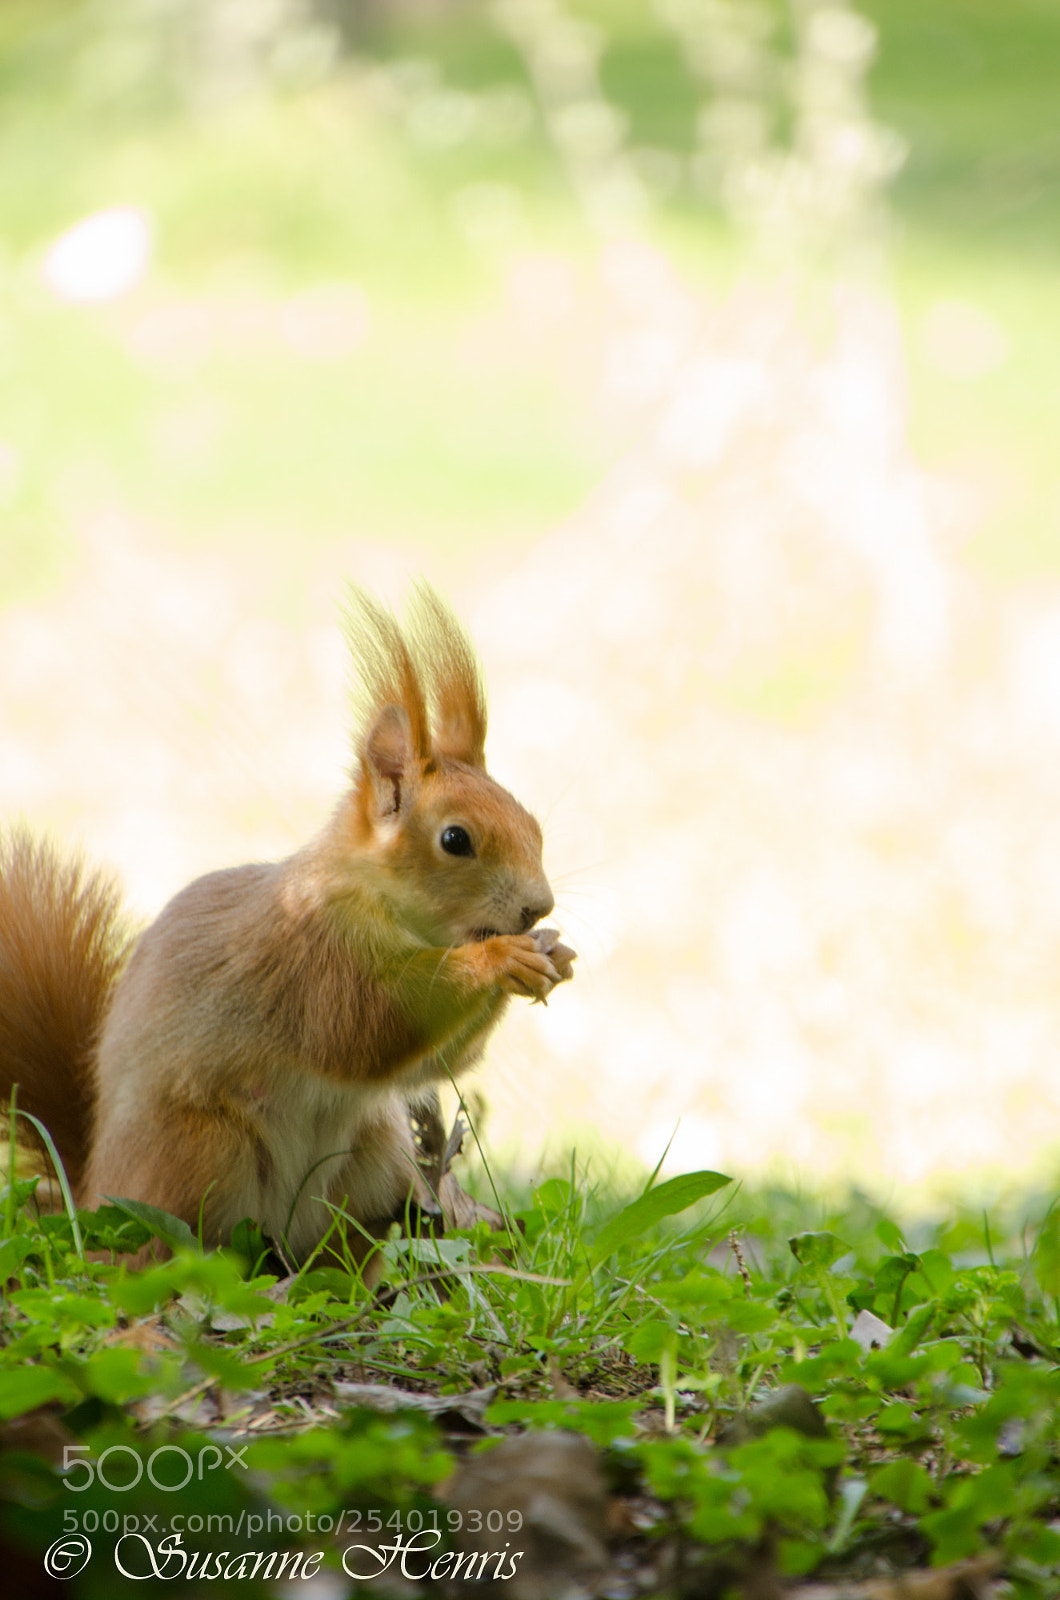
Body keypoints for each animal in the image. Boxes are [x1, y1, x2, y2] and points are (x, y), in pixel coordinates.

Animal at [0, 583, 574, 1273]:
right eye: (456, 839)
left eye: (533, 825)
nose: (538, 908)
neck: (384, 903)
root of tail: (92, 1196)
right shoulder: (308, 952)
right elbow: (371, 1022)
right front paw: (504, 961)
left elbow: (436, 1060)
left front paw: (556, 956)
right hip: (201, 1151)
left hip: (370, 1156)